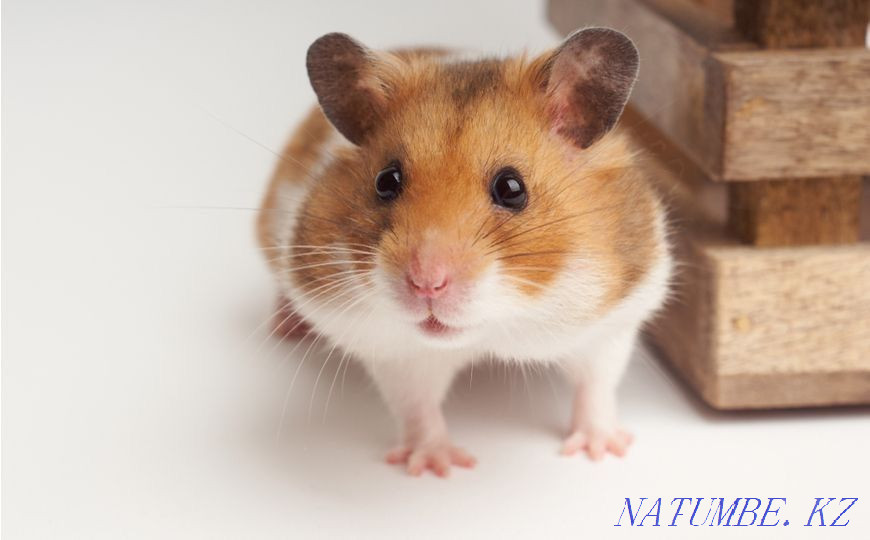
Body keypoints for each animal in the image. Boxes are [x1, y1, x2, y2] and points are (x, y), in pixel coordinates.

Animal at [257, 28, 672, 477]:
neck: (495, 328)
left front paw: (602, 450)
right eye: (386, 181)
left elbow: (596, 385)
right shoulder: (395, 351)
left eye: (512, 188)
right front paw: (437, 467)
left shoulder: (612, 322)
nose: (426, 283)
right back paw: (285, 327)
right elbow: (417, 407)